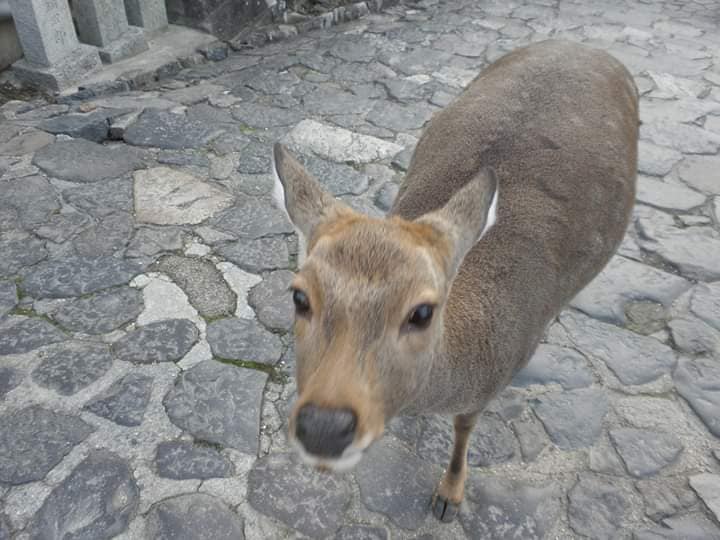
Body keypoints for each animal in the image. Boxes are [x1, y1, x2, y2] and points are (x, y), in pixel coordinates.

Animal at [268, 40, 636, 520]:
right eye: (299, 297)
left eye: (422, 312)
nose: (325, 428)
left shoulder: (487, 386)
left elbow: (465, 426)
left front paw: (449, 495)